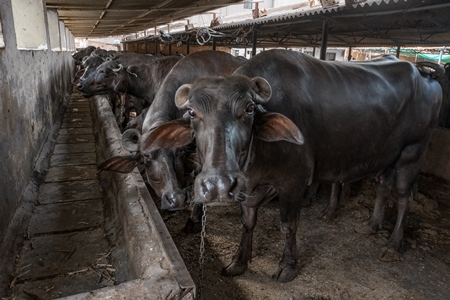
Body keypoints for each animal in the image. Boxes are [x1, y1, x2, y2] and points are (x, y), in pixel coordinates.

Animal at [143, 49, 442, 282]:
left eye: (249, 109)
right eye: (192, 112)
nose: (218, 185)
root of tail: (423, 75)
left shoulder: (293, 183)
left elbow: (288, 225)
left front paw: (287, 266)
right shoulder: (248, 185)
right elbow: (247, 221)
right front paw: (239, 261)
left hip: (413, 152)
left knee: (404, 197)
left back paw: (393, 245)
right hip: (385, 155)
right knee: (383, 186)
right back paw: (372, 224)